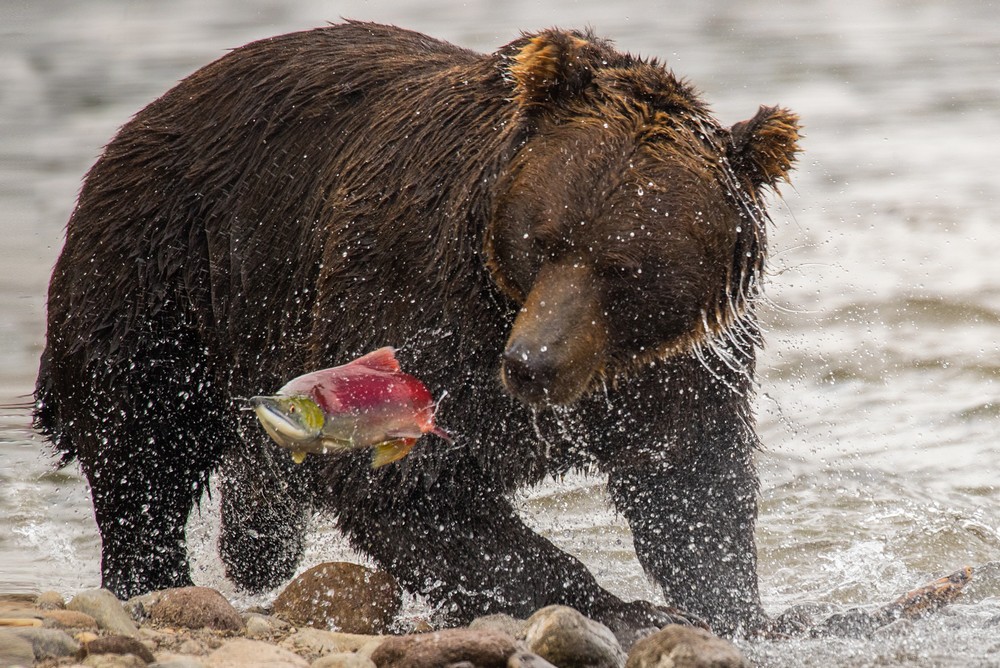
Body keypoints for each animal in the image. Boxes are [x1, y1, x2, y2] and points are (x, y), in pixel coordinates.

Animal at [35, 19, 800, 636]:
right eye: (545, 239)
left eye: (627, 268)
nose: (533, 364)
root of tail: (143, 120)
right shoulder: (413, 295)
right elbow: (412, 492)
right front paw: (625, 609)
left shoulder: (674, 364)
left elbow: (691, 478)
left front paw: (738, 606)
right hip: (167, 279)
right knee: (142, 450)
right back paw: (150, 580)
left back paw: (251, 552)